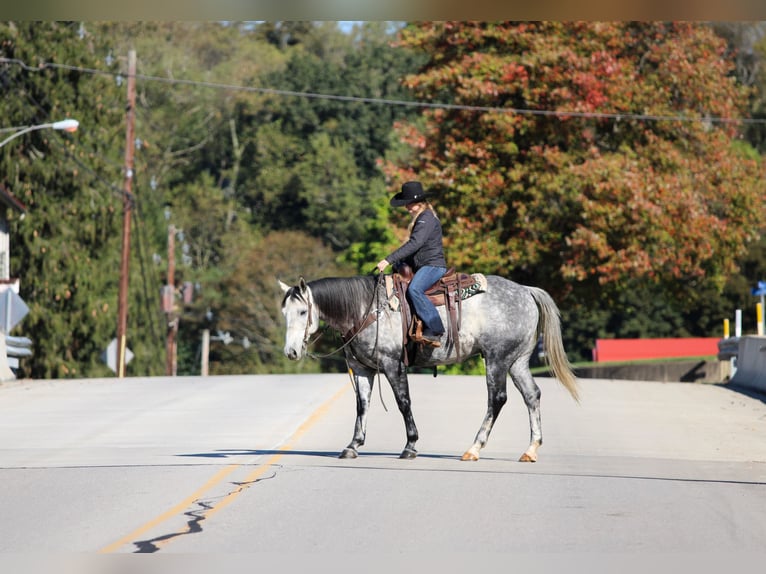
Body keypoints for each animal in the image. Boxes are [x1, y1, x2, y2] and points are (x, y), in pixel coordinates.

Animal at [279, 273, 579, 462]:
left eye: (303, 312)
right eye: (284, 313)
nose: (291, 352)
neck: (366, 309)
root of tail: (526, 291)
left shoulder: (392, 364)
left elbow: (403, 402)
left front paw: (410, 446)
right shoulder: (362, 369)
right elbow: (362, 406)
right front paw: (353, 445)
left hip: (497, 358)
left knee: (497, 399)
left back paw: (474, 448)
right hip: (517, 361)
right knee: (532, 396)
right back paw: (530, 450)